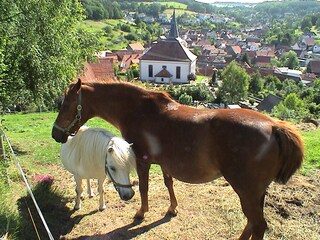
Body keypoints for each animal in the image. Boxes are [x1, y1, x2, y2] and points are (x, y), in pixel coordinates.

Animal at [51, 79, 304, 240]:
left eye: (66, 104)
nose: (56, 134)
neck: (138, 110)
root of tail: (274, 126)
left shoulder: (142, 161)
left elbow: (143, 188)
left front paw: (141, 212)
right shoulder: (166, 164)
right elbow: (169, 184)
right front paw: (172, 208)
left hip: (247, 191)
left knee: (258, 224)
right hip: (257, 193)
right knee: (253, 223)